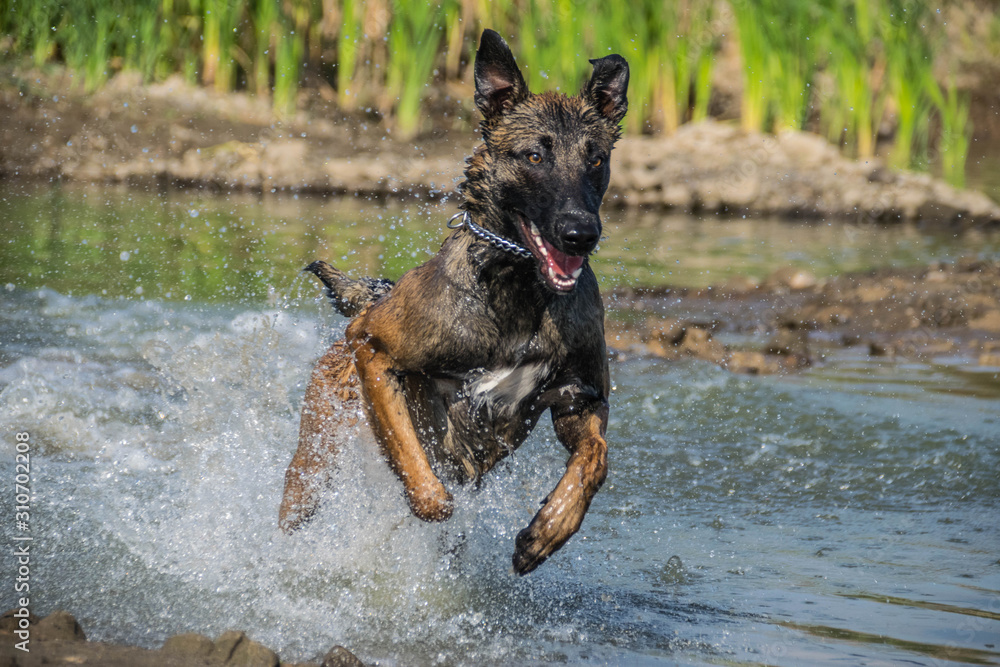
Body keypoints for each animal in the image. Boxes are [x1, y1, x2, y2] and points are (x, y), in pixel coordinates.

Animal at [279, 29, 628, 575]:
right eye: (534, 157)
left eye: (596, 159)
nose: (580, 233)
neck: (518, 289)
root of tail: (375, 294)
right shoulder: (373, 347)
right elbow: (420, 475)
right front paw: (430, 496)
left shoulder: (582, 397)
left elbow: (595, 460)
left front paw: (549, 529)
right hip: (314, 464)